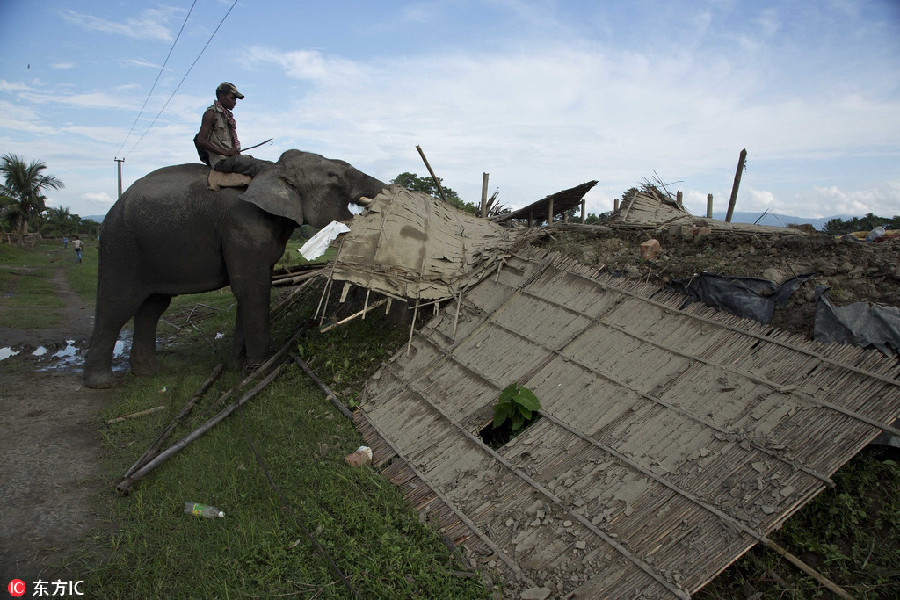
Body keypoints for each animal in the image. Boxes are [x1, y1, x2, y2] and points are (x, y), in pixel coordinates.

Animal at [86, 148, 388, 386]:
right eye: (333, 176)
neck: (270, 168)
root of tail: (115, 205)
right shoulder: (243, 226)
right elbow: (252, 289)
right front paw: (260, 366)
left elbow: (250, 289)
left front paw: (235, 366)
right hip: (122, 245)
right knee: (118, 304)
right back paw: (102, 383)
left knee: (153, 307)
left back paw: (148, 373)